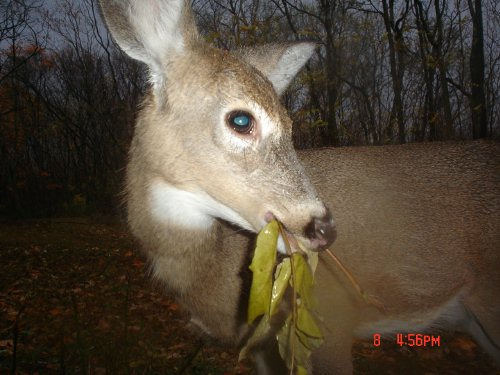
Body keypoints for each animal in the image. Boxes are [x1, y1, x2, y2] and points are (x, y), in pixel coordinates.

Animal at [98, 0, 500, 374]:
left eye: (291, 126)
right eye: (241, 120)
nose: (325, 229)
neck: (216, 278)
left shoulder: (331, 323)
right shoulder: (262, 347)